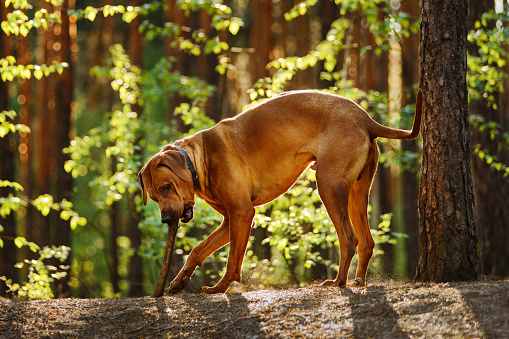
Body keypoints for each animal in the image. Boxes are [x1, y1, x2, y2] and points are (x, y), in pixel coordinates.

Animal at [138, 90, 420, 294]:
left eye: (166, 187)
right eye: (154, 197)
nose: (166, 219)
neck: (200, 159)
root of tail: (365, 118)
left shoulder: (242, 214)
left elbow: (232, 261)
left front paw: (220, 287)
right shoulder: (231, 220)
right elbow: (198, 249)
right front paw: (180, 280)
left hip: (328, 186)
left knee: (349, 239)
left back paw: (338, 282)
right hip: (357, 193)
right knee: (367, 241)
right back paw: (358, 280)